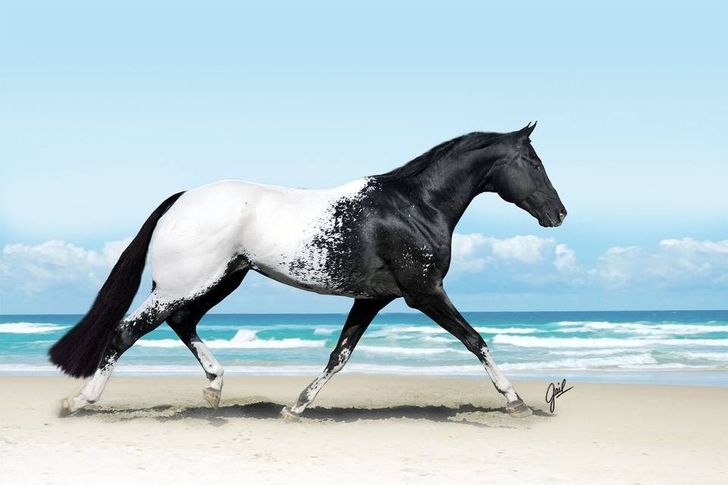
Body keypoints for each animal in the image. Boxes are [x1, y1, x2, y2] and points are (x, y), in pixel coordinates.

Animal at [50, 122, 566, 418]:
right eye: (534, 162)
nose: (558, 214)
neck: (414, 206)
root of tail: (180, 199)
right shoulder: (424, 292)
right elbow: (475, 339)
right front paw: (516, 400)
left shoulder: (373, 298)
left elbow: (339, 355)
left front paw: (297, 406)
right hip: (187, 282)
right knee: (127, 331)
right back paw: (80, 401)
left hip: (222, 278)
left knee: (181, 322)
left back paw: (215, 388)